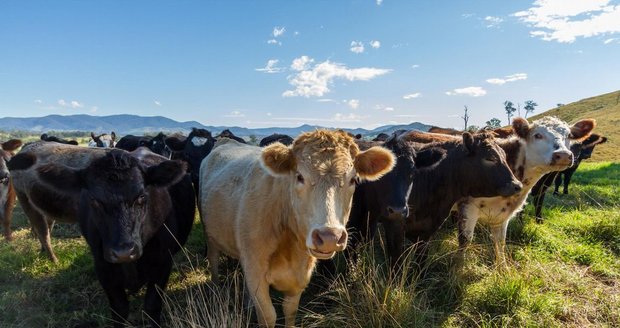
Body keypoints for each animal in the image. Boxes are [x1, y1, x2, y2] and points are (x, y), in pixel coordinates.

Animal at [9, 146, 193, 328]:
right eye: (94, 200)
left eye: (141, 196)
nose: (123, 252)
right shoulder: (103, 267)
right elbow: (119, 310)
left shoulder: (163, 263)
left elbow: (152, 306)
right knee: (42, 231)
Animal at [202, 129, 398, 326]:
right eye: (300, 177)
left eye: (353, 180)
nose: (330, 237)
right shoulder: (256, 272)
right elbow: (268, 315)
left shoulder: (298, 277)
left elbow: (290, 310)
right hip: (210, 235)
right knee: (213, 259)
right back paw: (215, 290)